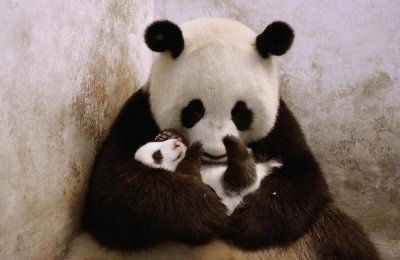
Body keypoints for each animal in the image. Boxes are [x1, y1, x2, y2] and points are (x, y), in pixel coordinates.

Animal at [69, 17, 382, 258]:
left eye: (241, 113)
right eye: (194, 110)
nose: (215, 152)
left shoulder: (281, 124)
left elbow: (304, 179)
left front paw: (246, 221)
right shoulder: (140, 112)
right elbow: (112, 193)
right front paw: (204, 211)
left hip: (317, 238)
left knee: (345, 237)